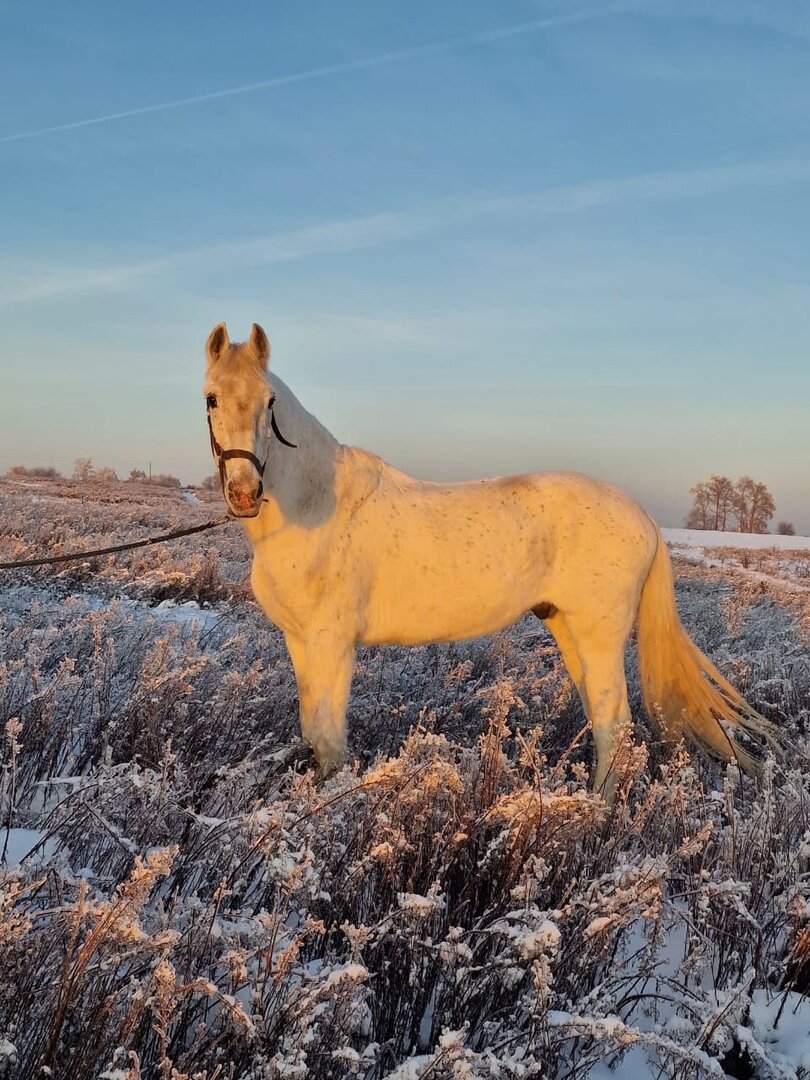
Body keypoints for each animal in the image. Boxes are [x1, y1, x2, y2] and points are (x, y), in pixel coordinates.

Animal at [203, 317, 781, 794]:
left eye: (269, 402)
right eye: (210, 398)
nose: (244, 493)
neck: (315, 505)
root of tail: (643, 516)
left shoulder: (333, 643)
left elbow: (329, 742)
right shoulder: (300, 642)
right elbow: (312, 732)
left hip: (599, 634)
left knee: (615, 722)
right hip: (567, 628)